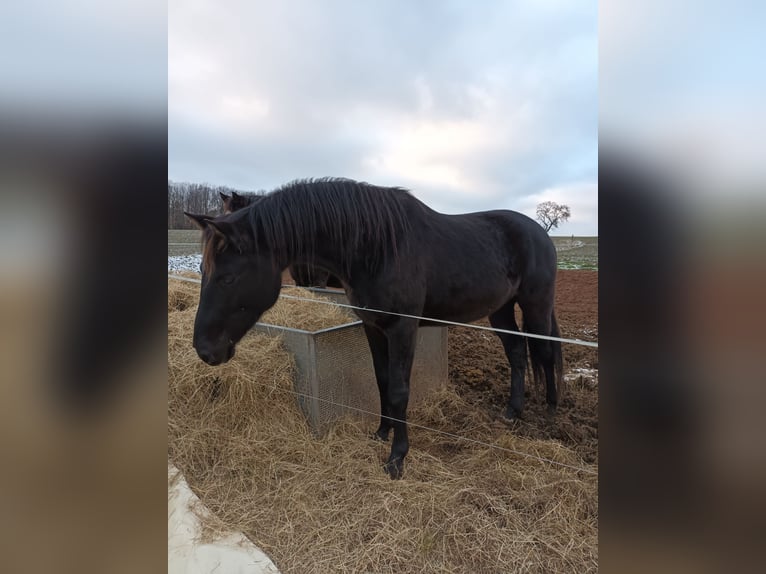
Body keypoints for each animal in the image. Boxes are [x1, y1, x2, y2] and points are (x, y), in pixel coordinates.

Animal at [186, 180, 564, 482]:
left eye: (229, 277)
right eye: (202, 269)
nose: (205, 350)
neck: (377, 246)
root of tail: (540, 232)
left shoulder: (402, 328)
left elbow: (399, 390)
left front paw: (397, 458)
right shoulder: (373, 326)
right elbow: (381, 380)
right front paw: (381, 433)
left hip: (536, 304)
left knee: (544, 353)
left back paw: (552, 412)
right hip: (500, 309)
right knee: (516, 352)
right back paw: (513, 411)